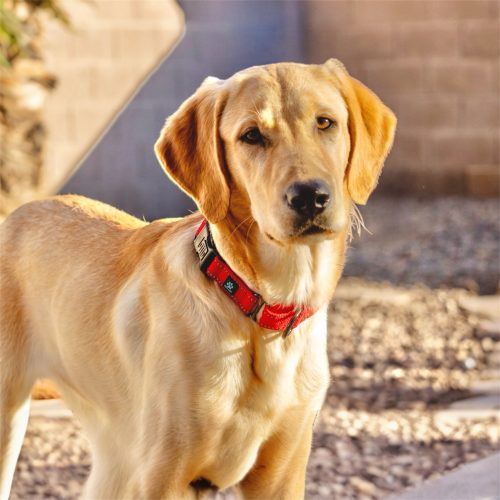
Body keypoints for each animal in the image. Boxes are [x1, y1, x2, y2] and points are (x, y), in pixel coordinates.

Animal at [0, 59, 396, 499]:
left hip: (115, 453)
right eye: (251, 135)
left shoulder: (282, 475)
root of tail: (15, 214)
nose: (310, 197)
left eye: (325, 122)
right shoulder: (164, 477)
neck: (259, 310)